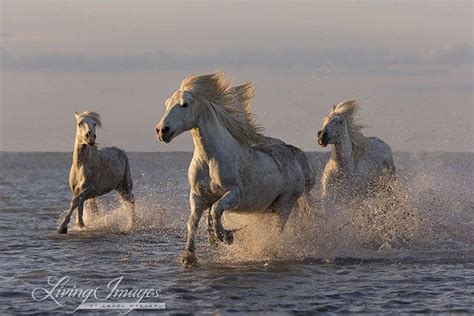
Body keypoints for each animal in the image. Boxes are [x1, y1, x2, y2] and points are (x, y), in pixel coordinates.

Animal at [157, 73, 316, 266]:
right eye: (166, 104)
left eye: (184, 104)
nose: (162, 130)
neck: (210, 158)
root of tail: (299, 161)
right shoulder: (198, 197)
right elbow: (193, 221)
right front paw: (189, 256)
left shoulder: (235, 194)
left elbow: (216, 208)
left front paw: (225, 237)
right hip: (266, 208)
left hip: (285, 203)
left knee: (277, 229)